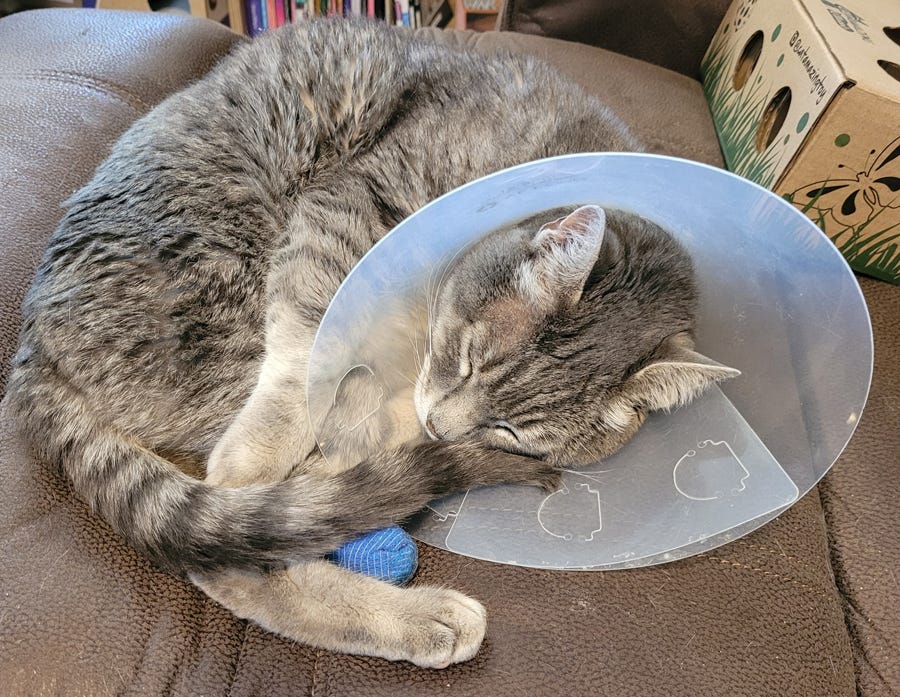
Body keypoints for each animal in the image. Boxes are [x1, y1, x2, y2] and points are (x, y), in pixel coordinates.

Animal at [8, 19, 740, 668]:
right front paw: (267, 455)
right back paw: (414, 607)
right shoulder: (357, 203)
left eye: (511, 430)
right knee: (232, 548)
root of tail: (31, 348)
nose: (443, 426)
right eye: (469, 357)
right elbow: (305, 348)